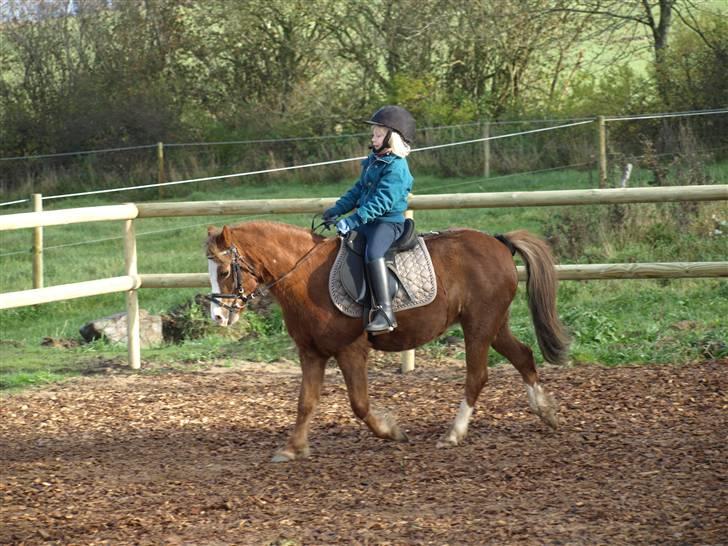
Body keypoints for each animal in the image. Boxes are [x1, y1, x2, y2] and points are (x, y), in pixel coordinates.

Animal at [205, 219, 568, 462]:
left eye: (224, 271)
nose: (218, 318)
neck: (305, 276)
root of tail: (498, 242)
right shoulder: (311, 353)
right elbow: (305, 402)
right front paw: (293, 448)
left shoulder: (350, 351)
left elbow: (359, 404)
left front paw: (391, 430)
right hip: (494, 325)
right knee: (523, 356)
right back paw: (546, 411)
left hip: (478, 326)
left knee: (477, 376)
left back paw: (453, 434)